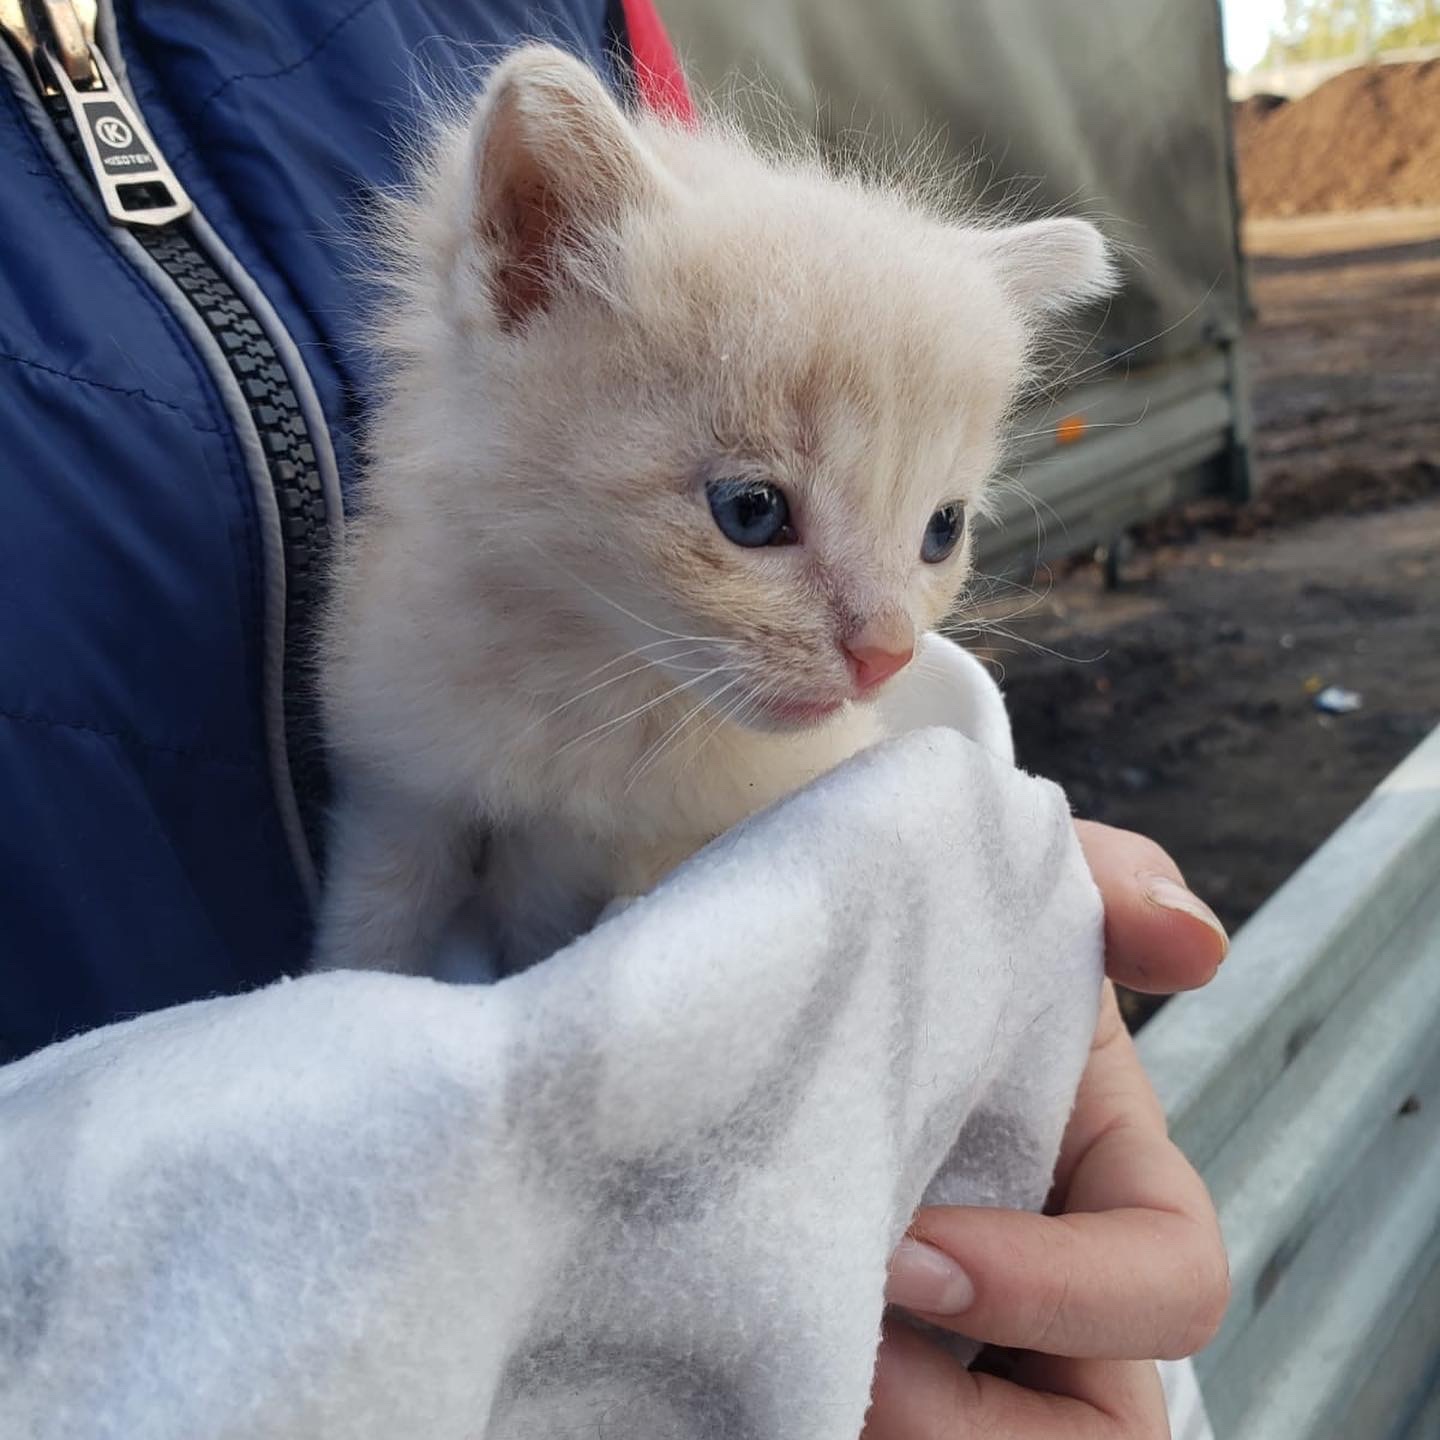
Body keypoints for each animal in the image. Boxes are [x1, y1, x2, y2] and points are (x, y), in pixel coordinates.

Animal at [315, 42, 1117, 979]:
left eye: (942, 529)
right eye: (752, 511)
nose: (885, 655)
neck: (587, 676)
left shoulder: (605, 846)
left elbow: (547, 926)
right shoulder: (399, 772)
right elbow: (375, 921)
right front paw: (343, 981)